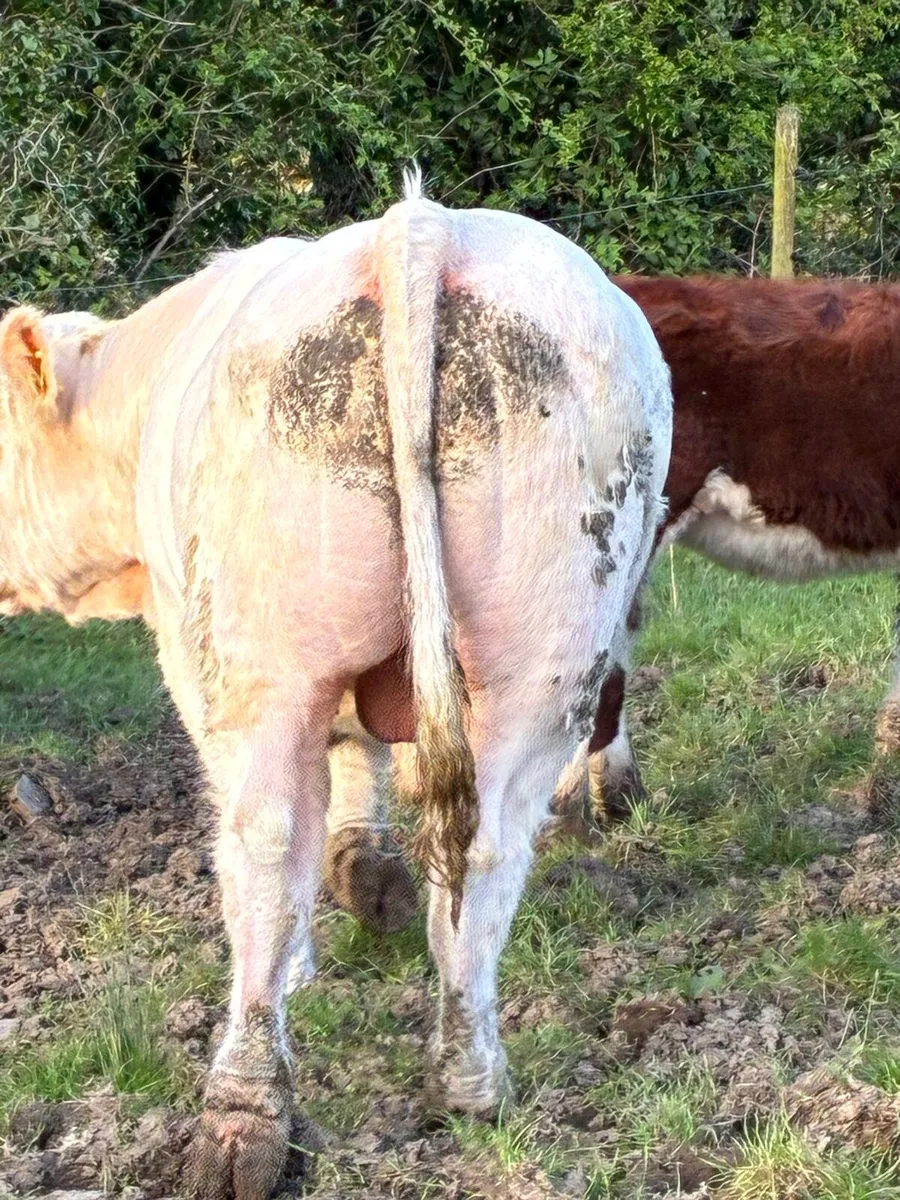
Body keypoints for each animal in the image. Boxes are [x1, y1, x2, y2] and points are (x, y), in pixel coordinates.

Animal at [0, 178, 671, 1199]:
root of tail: (423, 228)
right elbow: (367, 757)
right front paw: (371, 875)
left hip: (261, 656)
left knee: (266, 844)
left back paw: (243, 1118)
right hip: (549, 654)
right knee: (487, 844)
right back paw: (470, 1080)